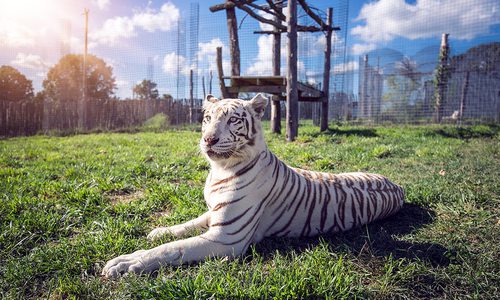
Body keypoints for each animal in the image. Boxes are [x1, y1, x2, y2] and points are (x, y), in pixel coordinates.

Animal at [101, 94, 402, 278]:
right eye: (207, 119)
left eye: (233, 119)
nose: (208, 140)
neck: (219, 170)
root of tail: (397, 185)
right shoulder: (214, 213)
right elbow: (186, 225)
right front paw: (160, 231)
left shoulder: (225, 237)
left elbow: (174, 248)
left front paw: (126, 262)